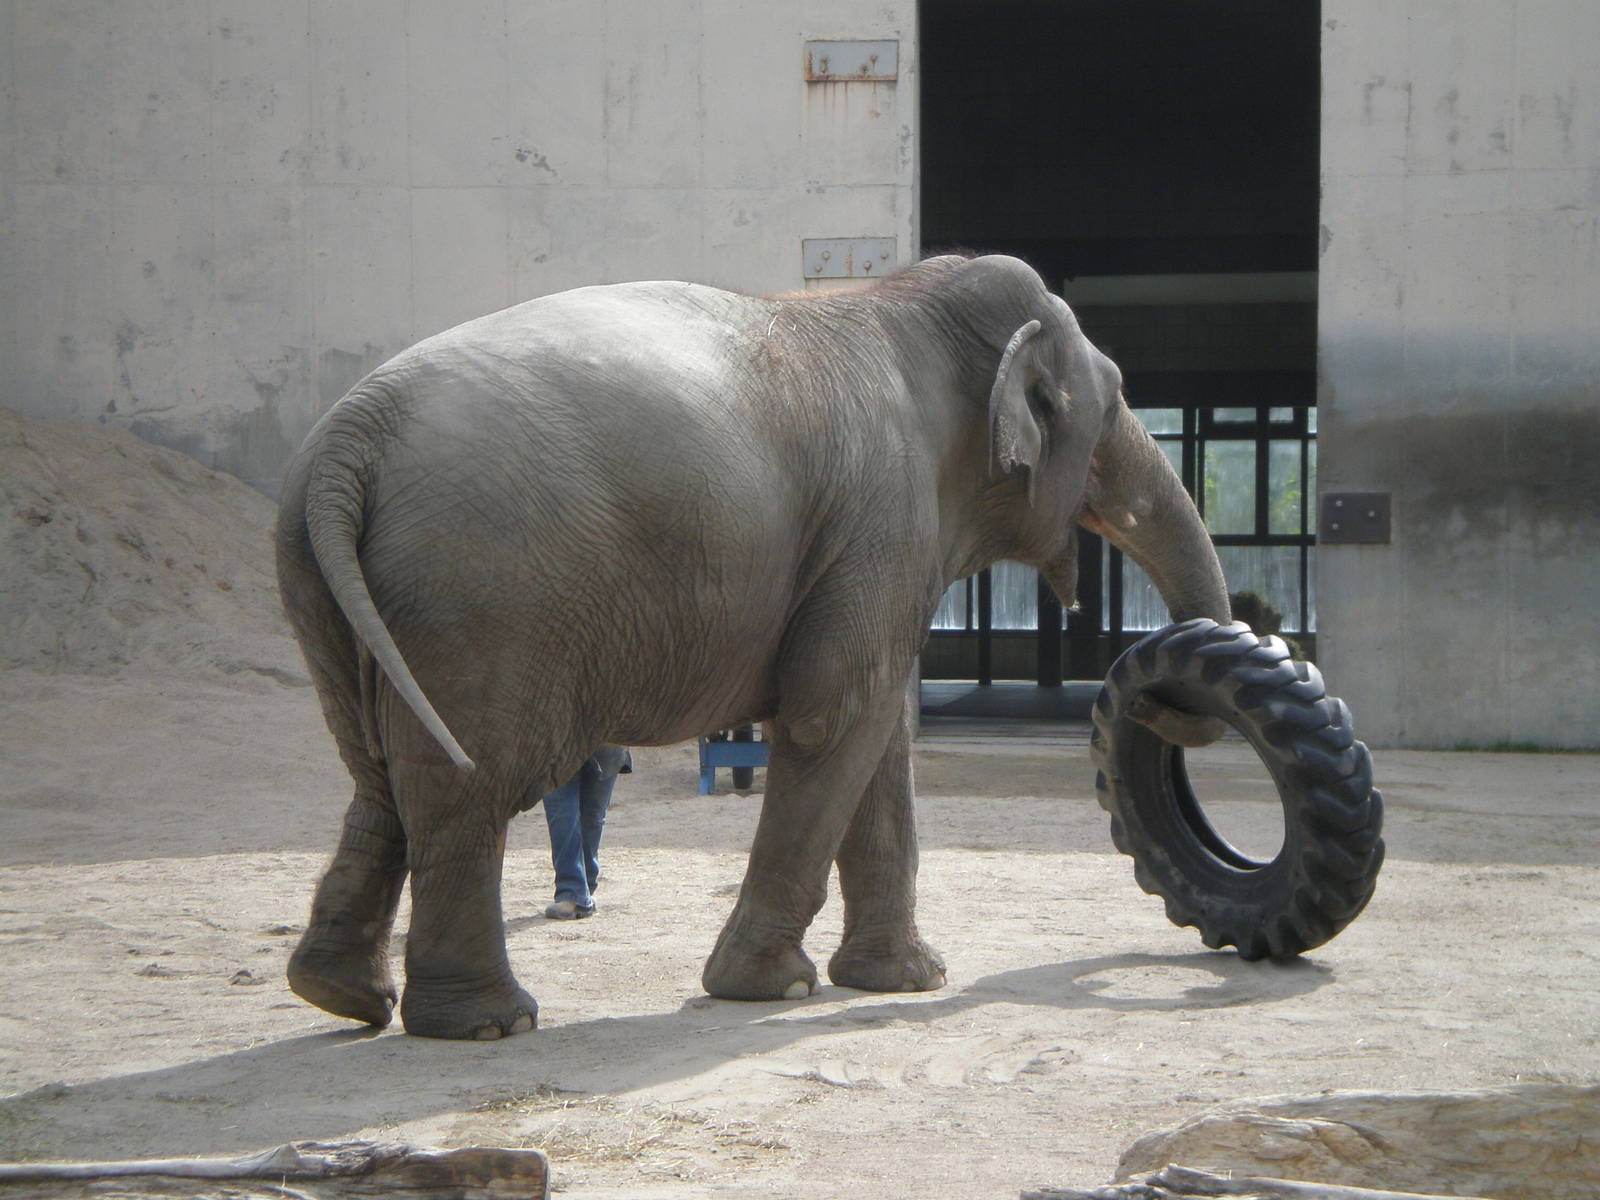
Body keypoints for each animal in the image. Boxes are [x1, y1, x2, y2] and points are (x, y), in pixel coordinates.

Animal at [274, 253, 1230, 1040]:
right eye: (1114, 399)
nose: (1161, 690)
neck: (905, 293)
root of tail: (350, 437)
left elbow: (876, 737)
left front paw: (905, 981)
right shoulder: (885, 518)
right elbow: (837, 717)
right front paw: (776, 989)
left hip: (337, 594)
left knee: (383, 774)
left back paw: (343, 997)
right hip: (483, 590)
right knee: (466, 782)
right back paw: (488, 1024)